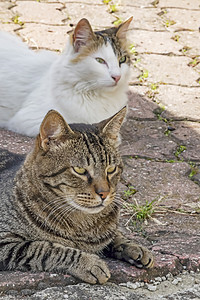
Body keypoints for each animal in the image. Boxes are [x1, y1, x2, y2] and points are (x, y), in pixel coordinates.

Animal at [0, 108, 153, 284]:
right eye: (80, 170)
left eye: (111, 169)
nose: (104, 193)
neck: (83, 224)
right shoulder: (5, 241)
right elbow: (46, 248)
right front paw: (89, 263)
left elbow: (115, 235)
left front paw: (134, 247)